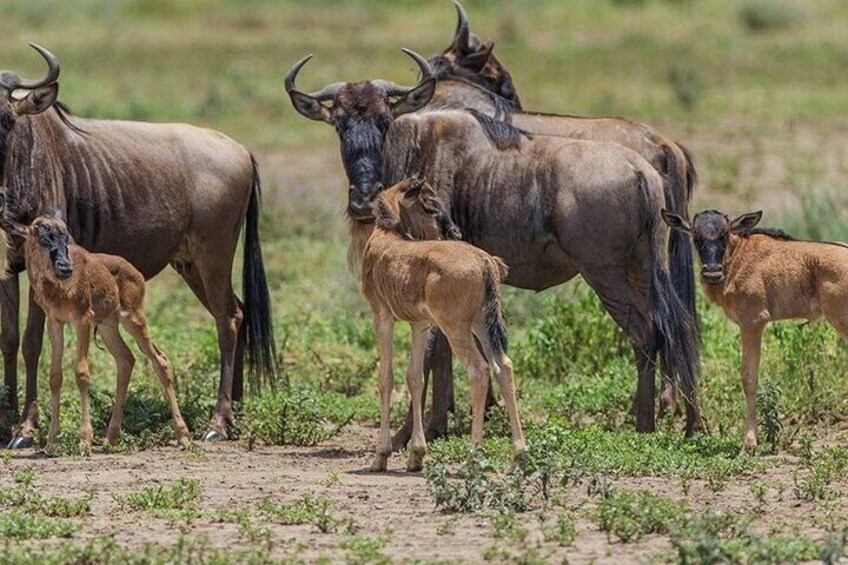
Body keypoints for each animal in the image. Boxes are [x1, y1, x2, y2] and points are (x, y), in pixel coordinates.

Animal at [3, 209, 190, 452]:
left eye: (66, 237)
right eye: (41, 236)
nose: (65, 268)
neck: (60, 288)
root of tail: (134, 271)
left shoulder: (83, 320)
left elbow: (82, 372)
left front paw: (84, 441)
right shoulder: (56, 322)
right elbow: (55, 376)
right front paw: (51, 442)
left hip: (133, 319)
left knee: (160, 360)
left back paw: (183, 437)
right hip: (107, 327)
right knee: (126, 359)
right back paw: (111, 438)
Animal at [362, 178, 528, 470]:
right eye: (429, 204)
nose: (454, 231)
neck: (387, 235)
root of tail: (485, 261)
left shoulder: (382, 317)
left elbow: (386, 378)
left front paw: (381, 455)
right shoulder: (420, 324)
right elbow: (415, 376)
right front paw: (416, 455)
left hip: (456, 328)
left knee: (479, 370)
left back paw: (473, 456)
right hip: (481, 325)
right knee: (503, 366)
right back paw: (519, 455)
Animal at [664, 209, 848, 452]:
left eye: (724, 234)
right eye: (696, 236)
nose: (712, 274)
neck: (736, 256)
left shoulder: (752, 322)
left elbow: (749, 378)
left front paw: (749, 443)